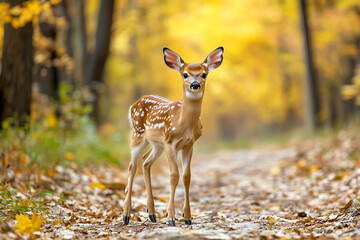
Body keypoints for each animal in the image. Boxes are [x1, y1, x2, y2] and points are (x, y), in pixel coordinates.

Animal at [124, 46, 225, 226]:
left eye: (204, 74)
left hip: (157, 144)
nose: (194, 84)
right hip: (137, 134)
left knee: (145, 161)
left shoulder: (189, 144)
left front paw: (187, 217)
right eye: (184, 74)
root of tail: (134, 104)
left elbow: (186, 176)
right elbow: (173, 175)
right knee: (132, 166)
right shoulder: (170, 142)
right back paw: (126, 215)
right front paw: (171, 217)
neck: (183, 123)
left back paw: (152, 214)